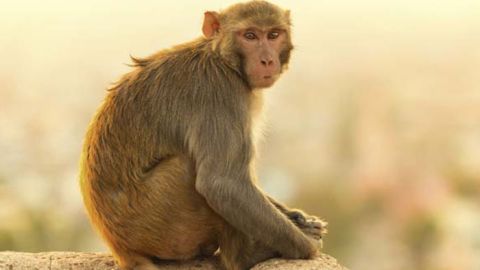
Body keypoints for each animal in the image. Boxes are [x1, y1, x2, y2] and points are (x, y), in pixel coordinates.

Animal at [81, 1, 326, 268]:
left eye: (273, 35)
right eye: (250, 36)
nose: (267, 60)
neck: (223, 60)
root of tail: (120, 249)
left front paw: (296, 217)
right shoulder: (220, 93)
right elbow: (223, 183)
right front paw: (307, 246)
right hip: (159, 227)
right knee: (192, 170)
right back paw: (244, 256)